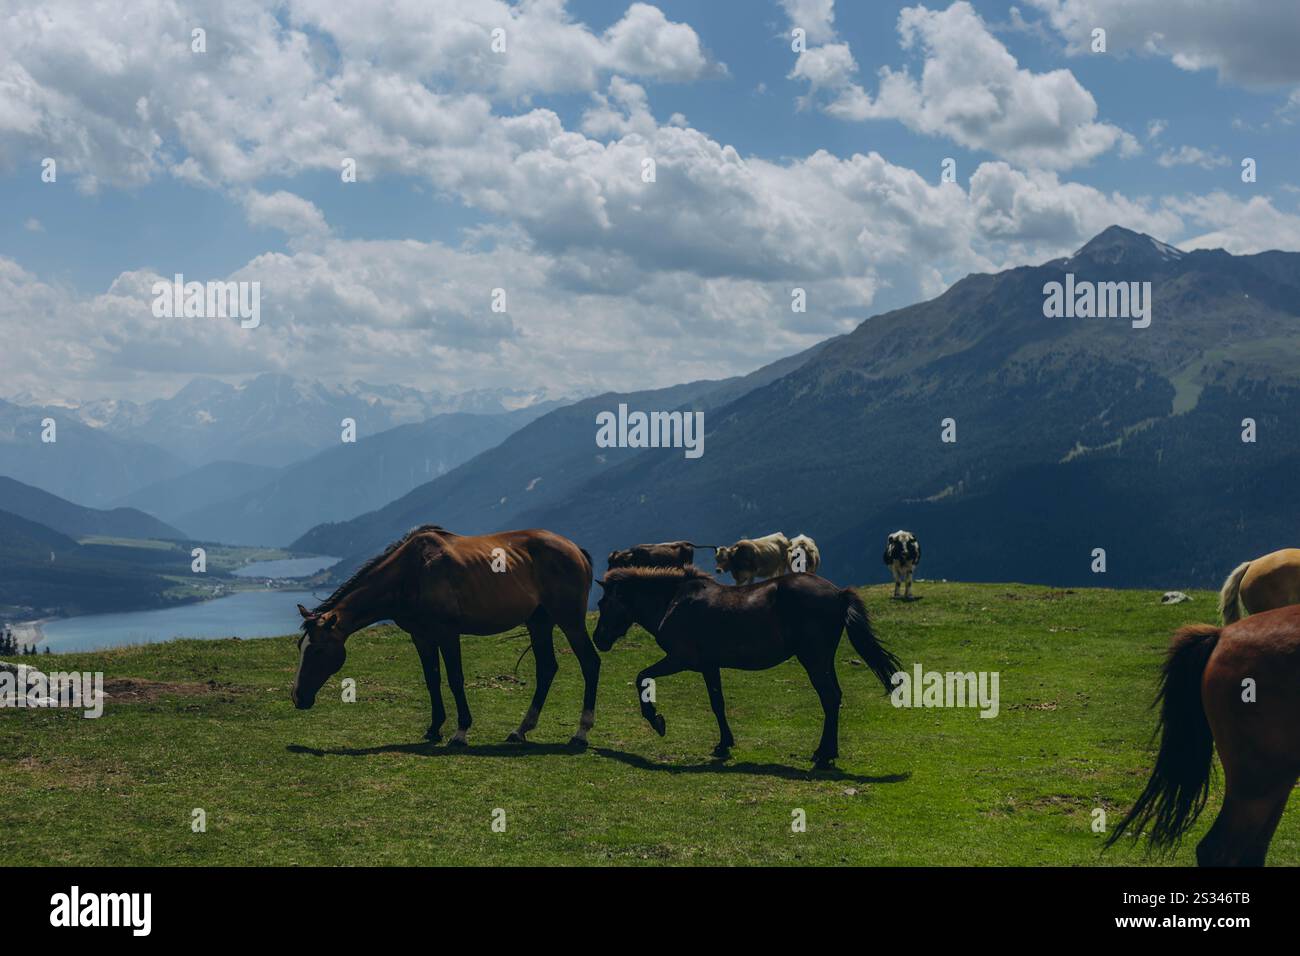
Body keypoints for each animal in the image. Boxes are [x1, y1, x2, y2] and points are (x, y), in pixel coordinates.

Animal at [292, 525, 601, 748]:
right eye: (300, 647)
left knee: (590, 662)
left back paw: (581, 733)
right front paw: (434, 728)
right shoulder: (422, 636)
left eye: (318, 650)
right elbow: (432, 679)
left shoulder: (447, 633)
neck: (411, 573)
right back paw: (521, 729)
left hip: (569, 620)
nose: (298, 697)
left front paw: (460, 731)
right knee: (547, 668)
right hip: (539, 622)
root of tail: (576, 549)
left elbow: (455, 679)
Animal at [590, 565, 901, 769]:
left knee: (829, 697)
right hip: (822, 661)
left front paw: (656, 720)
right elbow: (717, 703)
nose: (598, 639)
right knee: (833, 697)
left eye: (604, 603)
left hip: (813, 659)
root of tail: (838, 594)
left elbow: (641, 677)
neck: (674, 602)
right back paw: (825, 752)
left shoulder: (680, 659)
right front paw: (723, 744)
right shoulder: (709, 666)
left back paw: (824, 755)